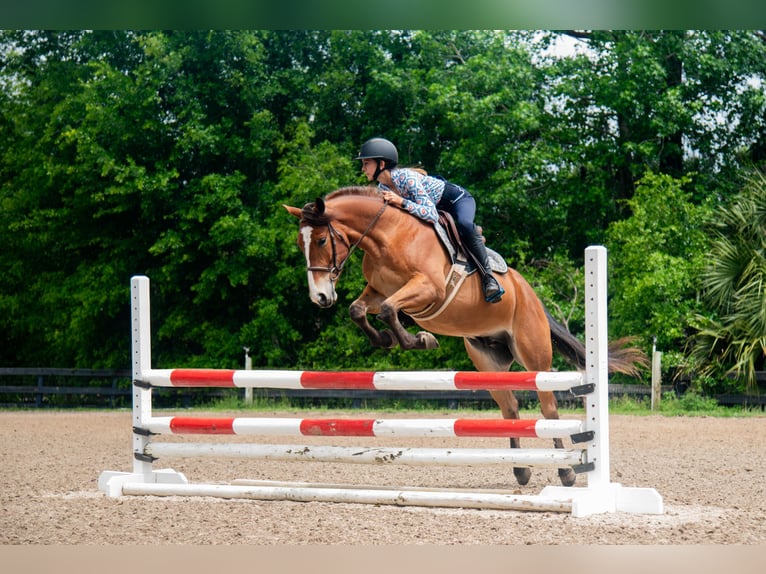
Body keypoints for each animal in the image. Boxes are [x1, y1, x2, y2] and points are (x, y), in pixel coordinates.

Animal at [284, 186, 646, 487]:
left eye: (320, 240)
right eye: (299, 244)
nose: (320, 297)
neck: (388, 236)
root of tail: (531, 295)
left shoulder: (426, 288)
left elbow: (387, 310)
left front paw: (420, 340)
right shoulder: (377, 291)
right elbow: (359, 310)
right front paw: (388, 340)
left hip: (534, 355)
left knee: (549, 410)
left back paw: (567, 473)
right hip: (487, 361)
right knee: (510, 409)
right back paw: (520, 470)